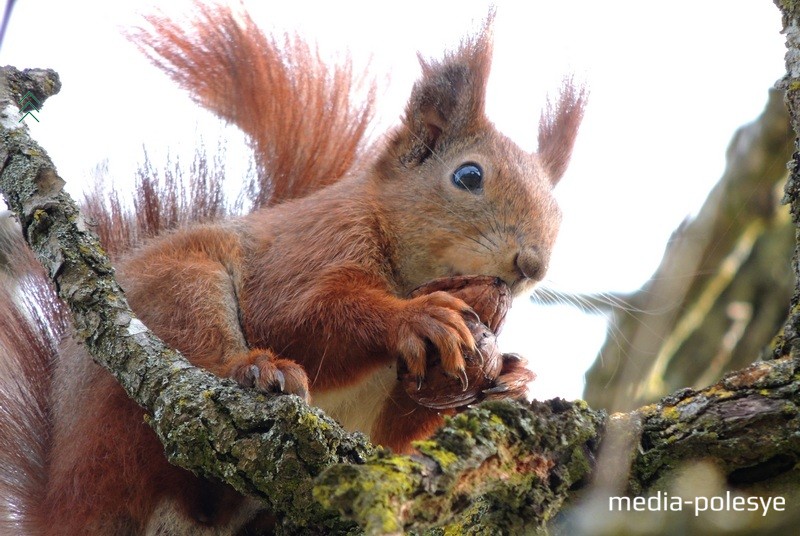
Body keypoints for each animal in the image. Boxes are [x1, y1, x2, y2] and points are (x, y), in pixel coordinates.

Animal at [1, 2, 588, 532]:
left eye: (561, 214)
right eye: (468, 176)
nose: (531, 265)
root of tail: (65, 502)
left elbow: (395, 439)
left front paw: (510, 376)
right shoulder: (313, 246)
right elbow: (292, 318)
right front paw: (415, 319)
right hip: (169, 311)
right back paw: (259, 372)